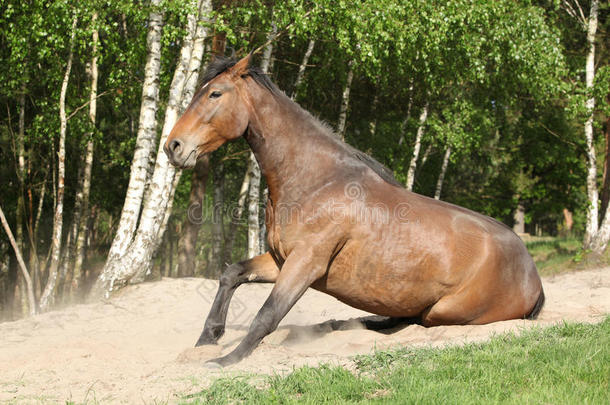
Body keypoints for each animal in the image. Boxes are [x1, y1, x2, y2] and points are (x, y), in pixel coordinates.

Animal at [162, 54, 540, 366]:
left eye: (215, 94)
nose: (173, 146)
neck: (316, 181)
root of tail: (532, 275)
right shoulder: (282, 259)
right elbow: (232, 274)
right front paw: (206, 340)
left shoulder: (306, 262)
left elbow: (267, 314)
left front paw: (225, 361)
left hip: (443, 310)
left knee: (418, 319)